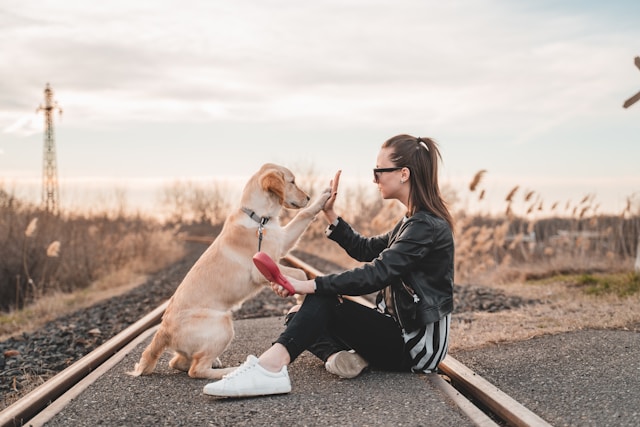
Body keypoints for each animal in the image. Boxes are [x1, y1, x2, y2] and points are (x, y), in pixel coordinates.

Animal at [127, 164, 328, 382]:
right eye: (292, 182)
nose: (308, 197)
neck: (259, 219)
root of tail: (163, 330)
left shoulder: (282, 242)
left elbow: (303, 215)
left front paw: (323, 197)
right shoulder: (261, 267)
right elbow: (300, 273)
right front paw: (301, 299)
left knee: (178, 362)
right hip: (223, 324)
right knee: (196, 370)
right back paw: (230, 371)